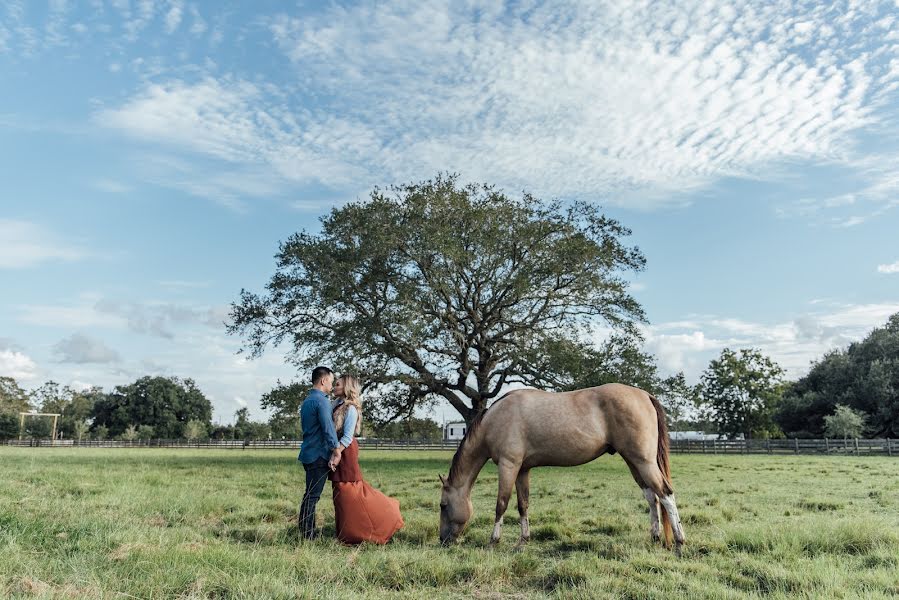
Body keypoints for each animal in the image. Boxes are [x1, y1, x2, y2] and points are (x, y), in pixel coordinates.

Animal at [440, 384, 684, 552]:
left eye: (443, 505)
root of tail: (644, 395)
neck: (496, 419)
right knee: (652, 498)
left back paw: (680, 541)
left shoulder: (508, 465)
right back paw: (655, 537)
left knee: (666, 494)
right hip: (634, 463)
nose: (443, 540)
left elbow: (501, 504)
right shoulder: (522, 469)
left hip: (644, 462)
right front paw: (523, 541)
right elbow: (522, 505)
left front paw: (493, 541)